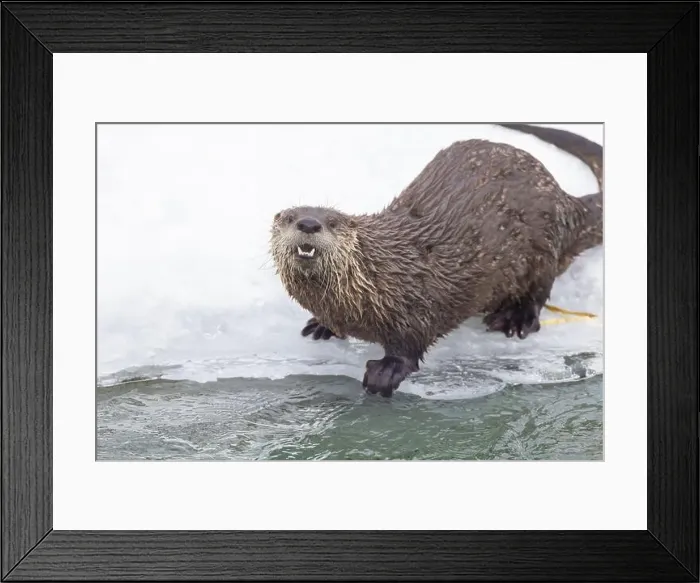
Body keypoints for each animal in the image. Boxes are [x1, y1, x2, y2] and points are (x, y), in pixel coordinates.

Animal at [269, 123, 603, 397]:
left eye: (333, 221)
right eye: (289, 218)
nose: (309, 223)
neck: (378, 275)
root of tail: (565, 200)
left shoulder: (416, 304)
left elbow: (412, 342)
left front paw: (386, 371)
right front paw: (322, 325)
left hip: (542, 245)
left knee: (539, 290)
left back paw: (514, 318)